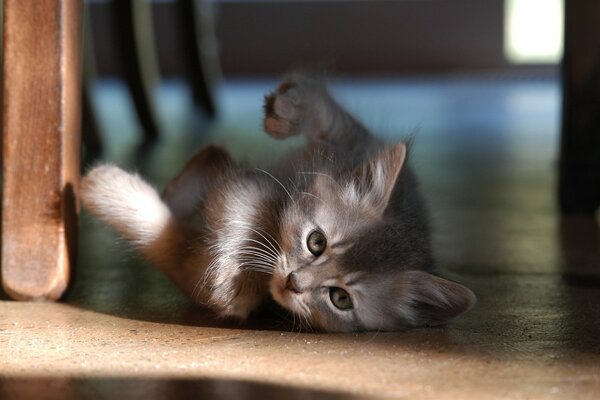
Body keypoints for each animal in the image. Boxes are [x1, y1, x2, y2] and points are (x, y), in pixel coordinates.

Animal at [79, 73, 476, 332]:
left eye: (340, 299)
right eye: (316, 242)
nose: (294, 283)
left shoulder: (195, 263)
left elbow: (173, 242)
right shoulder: (334, 150)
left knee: (213, 164)